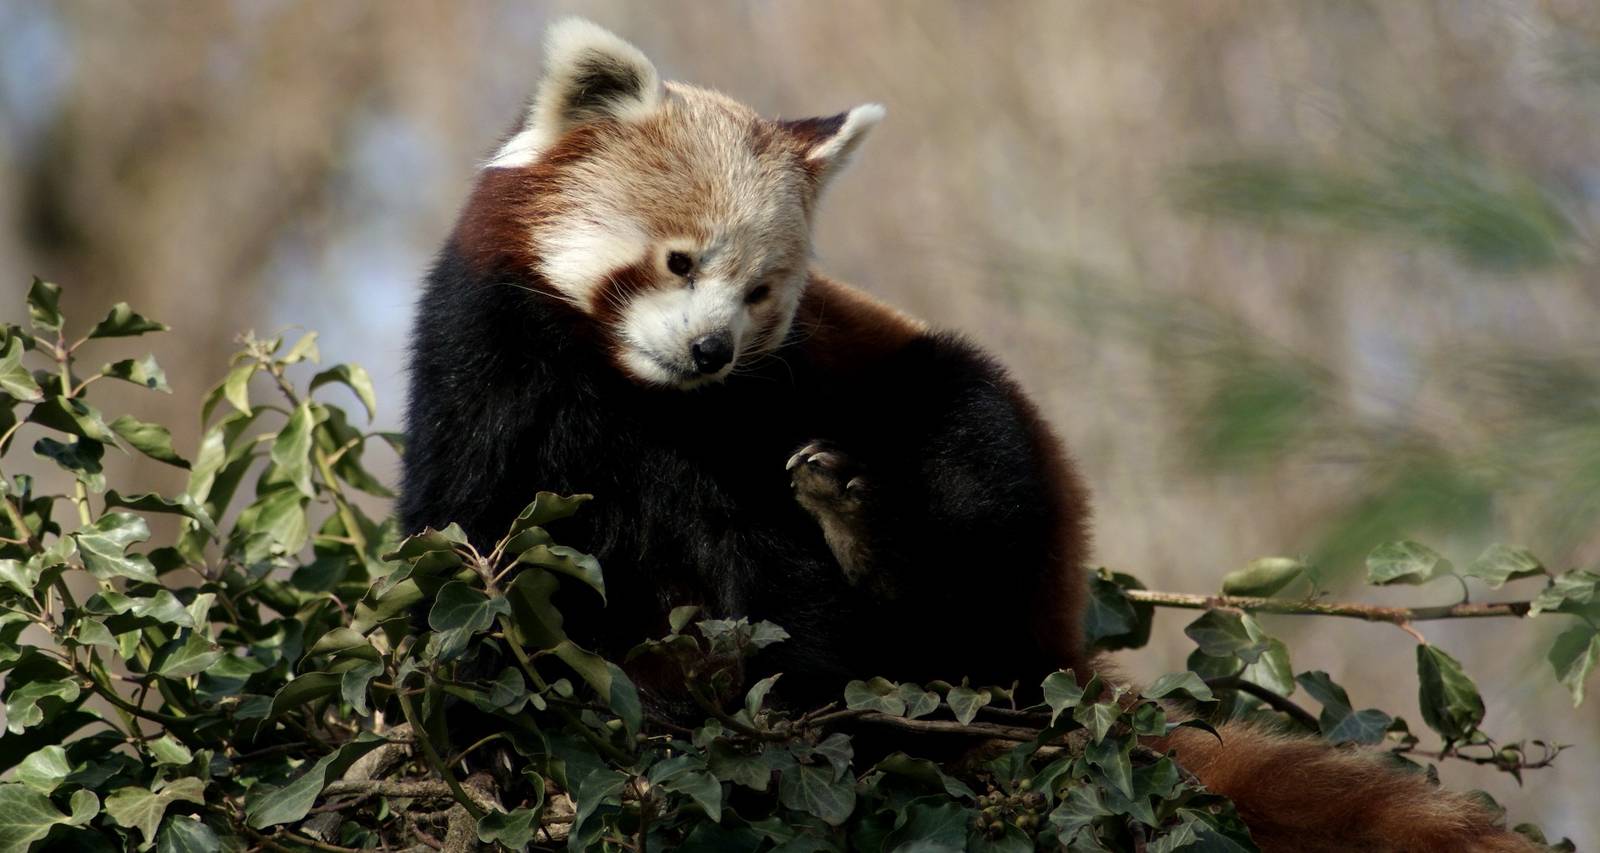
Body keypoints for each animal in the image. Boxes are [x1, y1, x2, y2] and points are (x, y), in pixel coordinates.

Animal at [397, 18, 1535, 852]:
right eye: (681, 262)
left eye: (761, 292)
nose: (713, 348)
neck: (623, 389)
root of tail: (1051, 660)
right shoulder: (484, 370)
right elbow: (462, 542)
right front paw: (485, 722)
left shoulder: (750, 419)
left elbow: (772, 582)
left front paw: (778, 699)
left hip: (976, 455)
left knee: (965, 467)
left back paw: (872, 566)